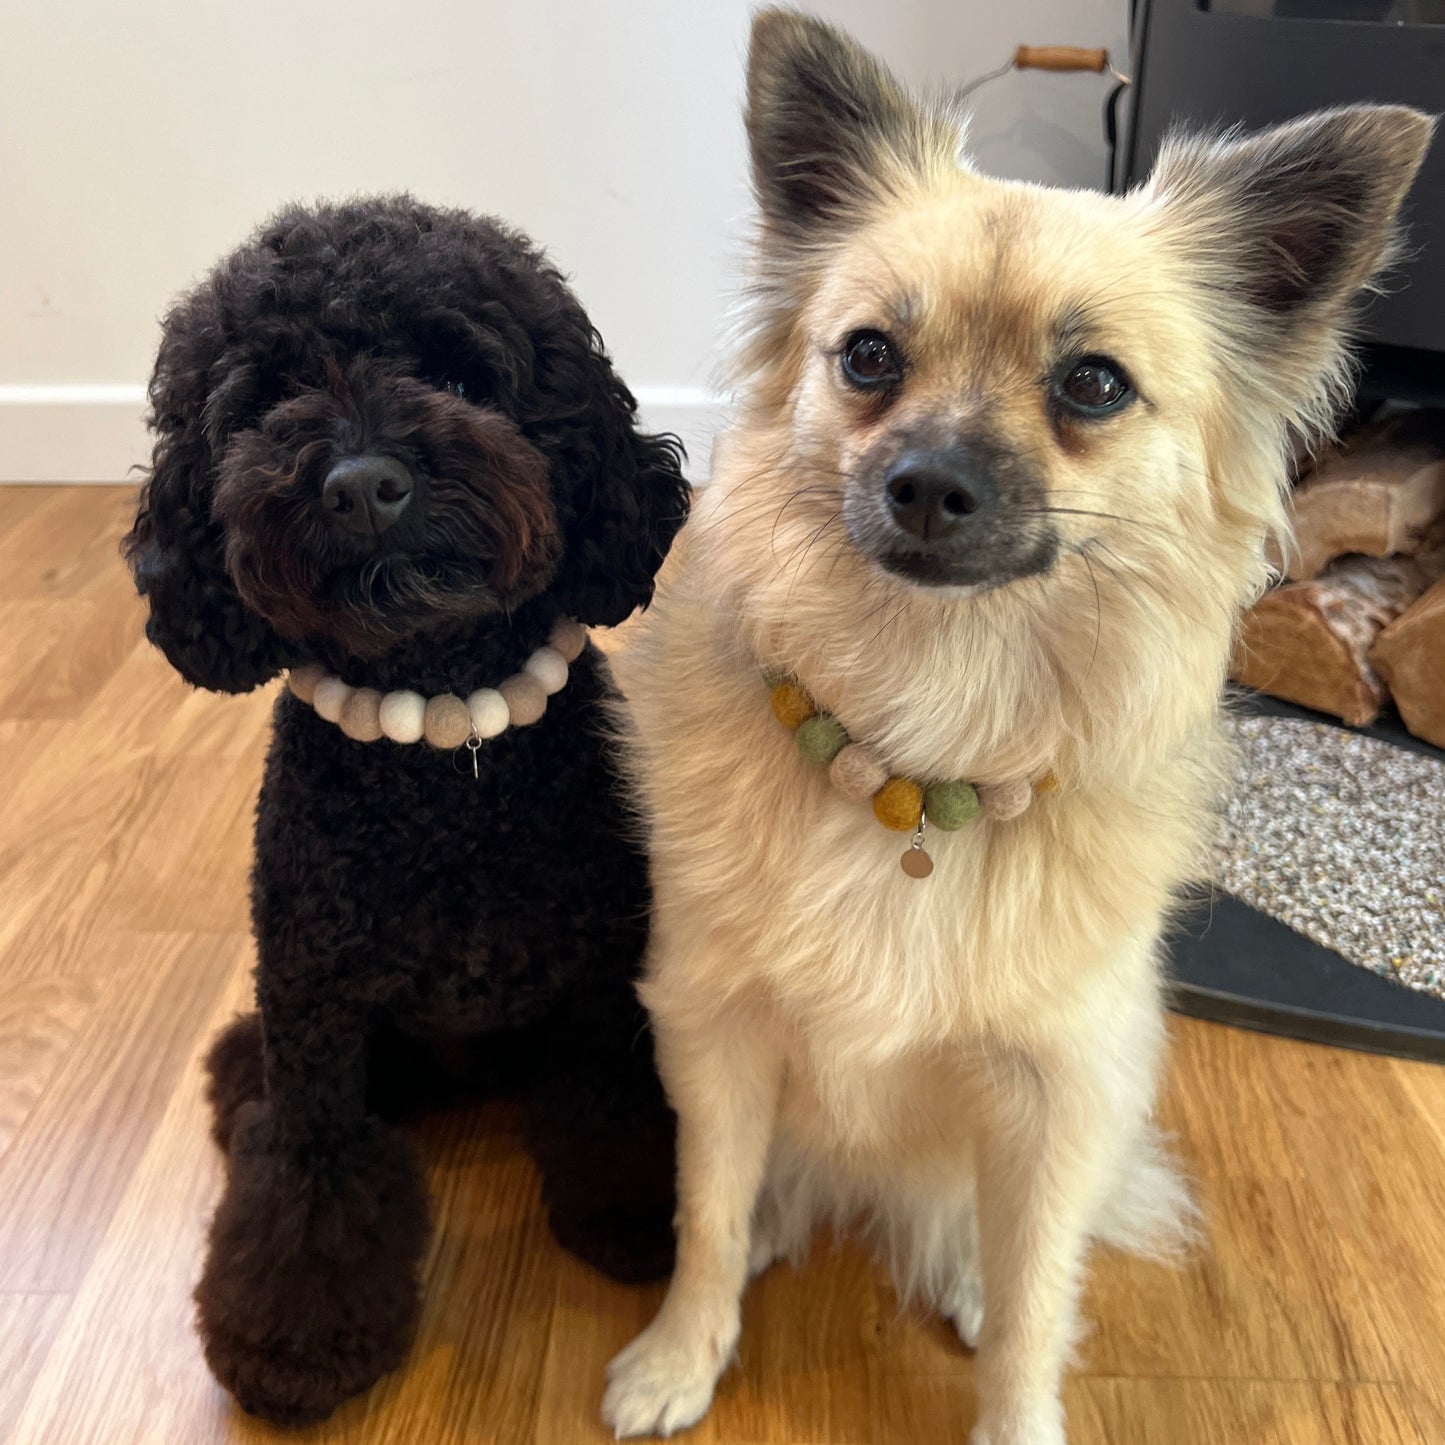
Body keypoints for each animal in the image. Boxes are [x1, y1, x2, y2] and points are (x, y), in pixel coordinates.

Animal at [124, 197, 687, 1427]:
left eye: (460, 373)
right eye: (266, 396)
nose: (362, 482)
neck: (441, 766)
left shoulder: (602, 976)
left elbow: (615, 1097)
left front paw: (635, 1213)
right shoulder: (315, 1003)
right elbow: (313, 1169)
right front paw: (296, 1338)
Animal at [601, 14, 1433, 1445]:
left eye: (1092, 384)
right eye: (867, 356)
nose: (927, 483)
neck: (920, 752)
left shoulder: (1054, 1100)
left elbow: (1038, 1290)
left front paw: (1014, 1403)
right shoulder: (713, 1034)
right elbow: (704, 1208)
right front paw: (680, 1352)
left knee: (989, 1240)